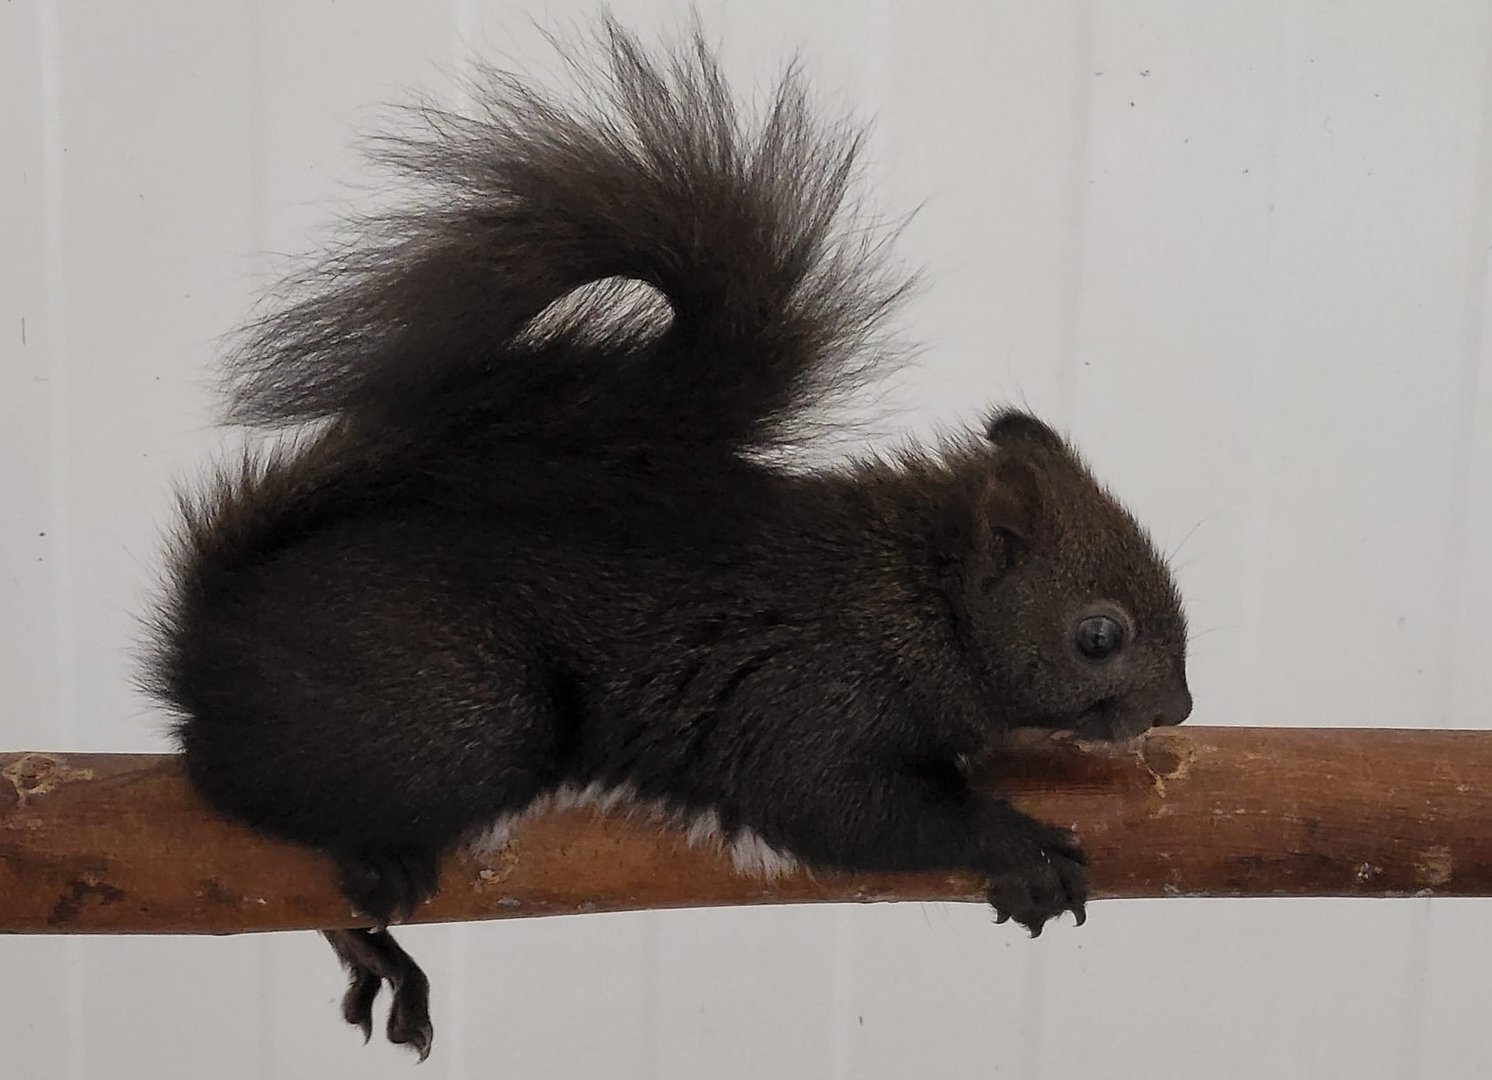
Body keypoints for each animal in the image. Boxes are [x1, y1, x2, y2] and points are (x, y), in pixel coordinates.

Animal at [141, 17, 1192, 1062]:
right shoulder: (807, 707)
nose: (1177, 709)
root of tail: (210, 630)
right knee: (232, 779)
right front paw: (1017, 846)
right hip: (466, 711)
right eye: (1099, 635)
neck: (913, 597)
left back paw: (370, 948)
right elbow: (852, 812)